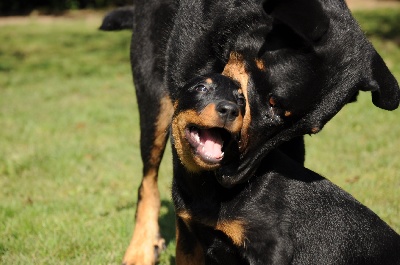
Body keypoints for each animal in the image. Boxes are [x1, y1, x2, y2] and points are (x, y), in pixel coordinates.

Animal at [172, 72, 400, 264]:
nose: (230, 110)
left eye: (241, 100)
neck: (207, 184)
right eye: (201, 88)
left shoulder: (273, 247)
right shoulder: (189, 240)